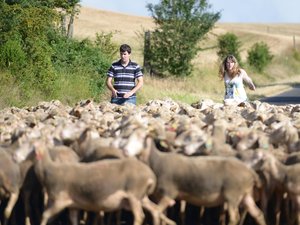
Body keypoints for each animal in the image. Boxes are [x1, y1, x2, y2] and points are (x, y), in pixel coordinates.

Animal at [122, 129, 268, 225]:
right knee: (258, 214)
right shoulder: (159, 196)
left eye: (141, 138)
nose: (125, 151)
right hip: (246, 195)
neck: (157, 161)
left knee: (234, 218)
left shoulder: (169, 193)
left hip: (233, 195)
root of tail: (251, 173)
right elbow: (160, 213)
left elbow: (157, 212)